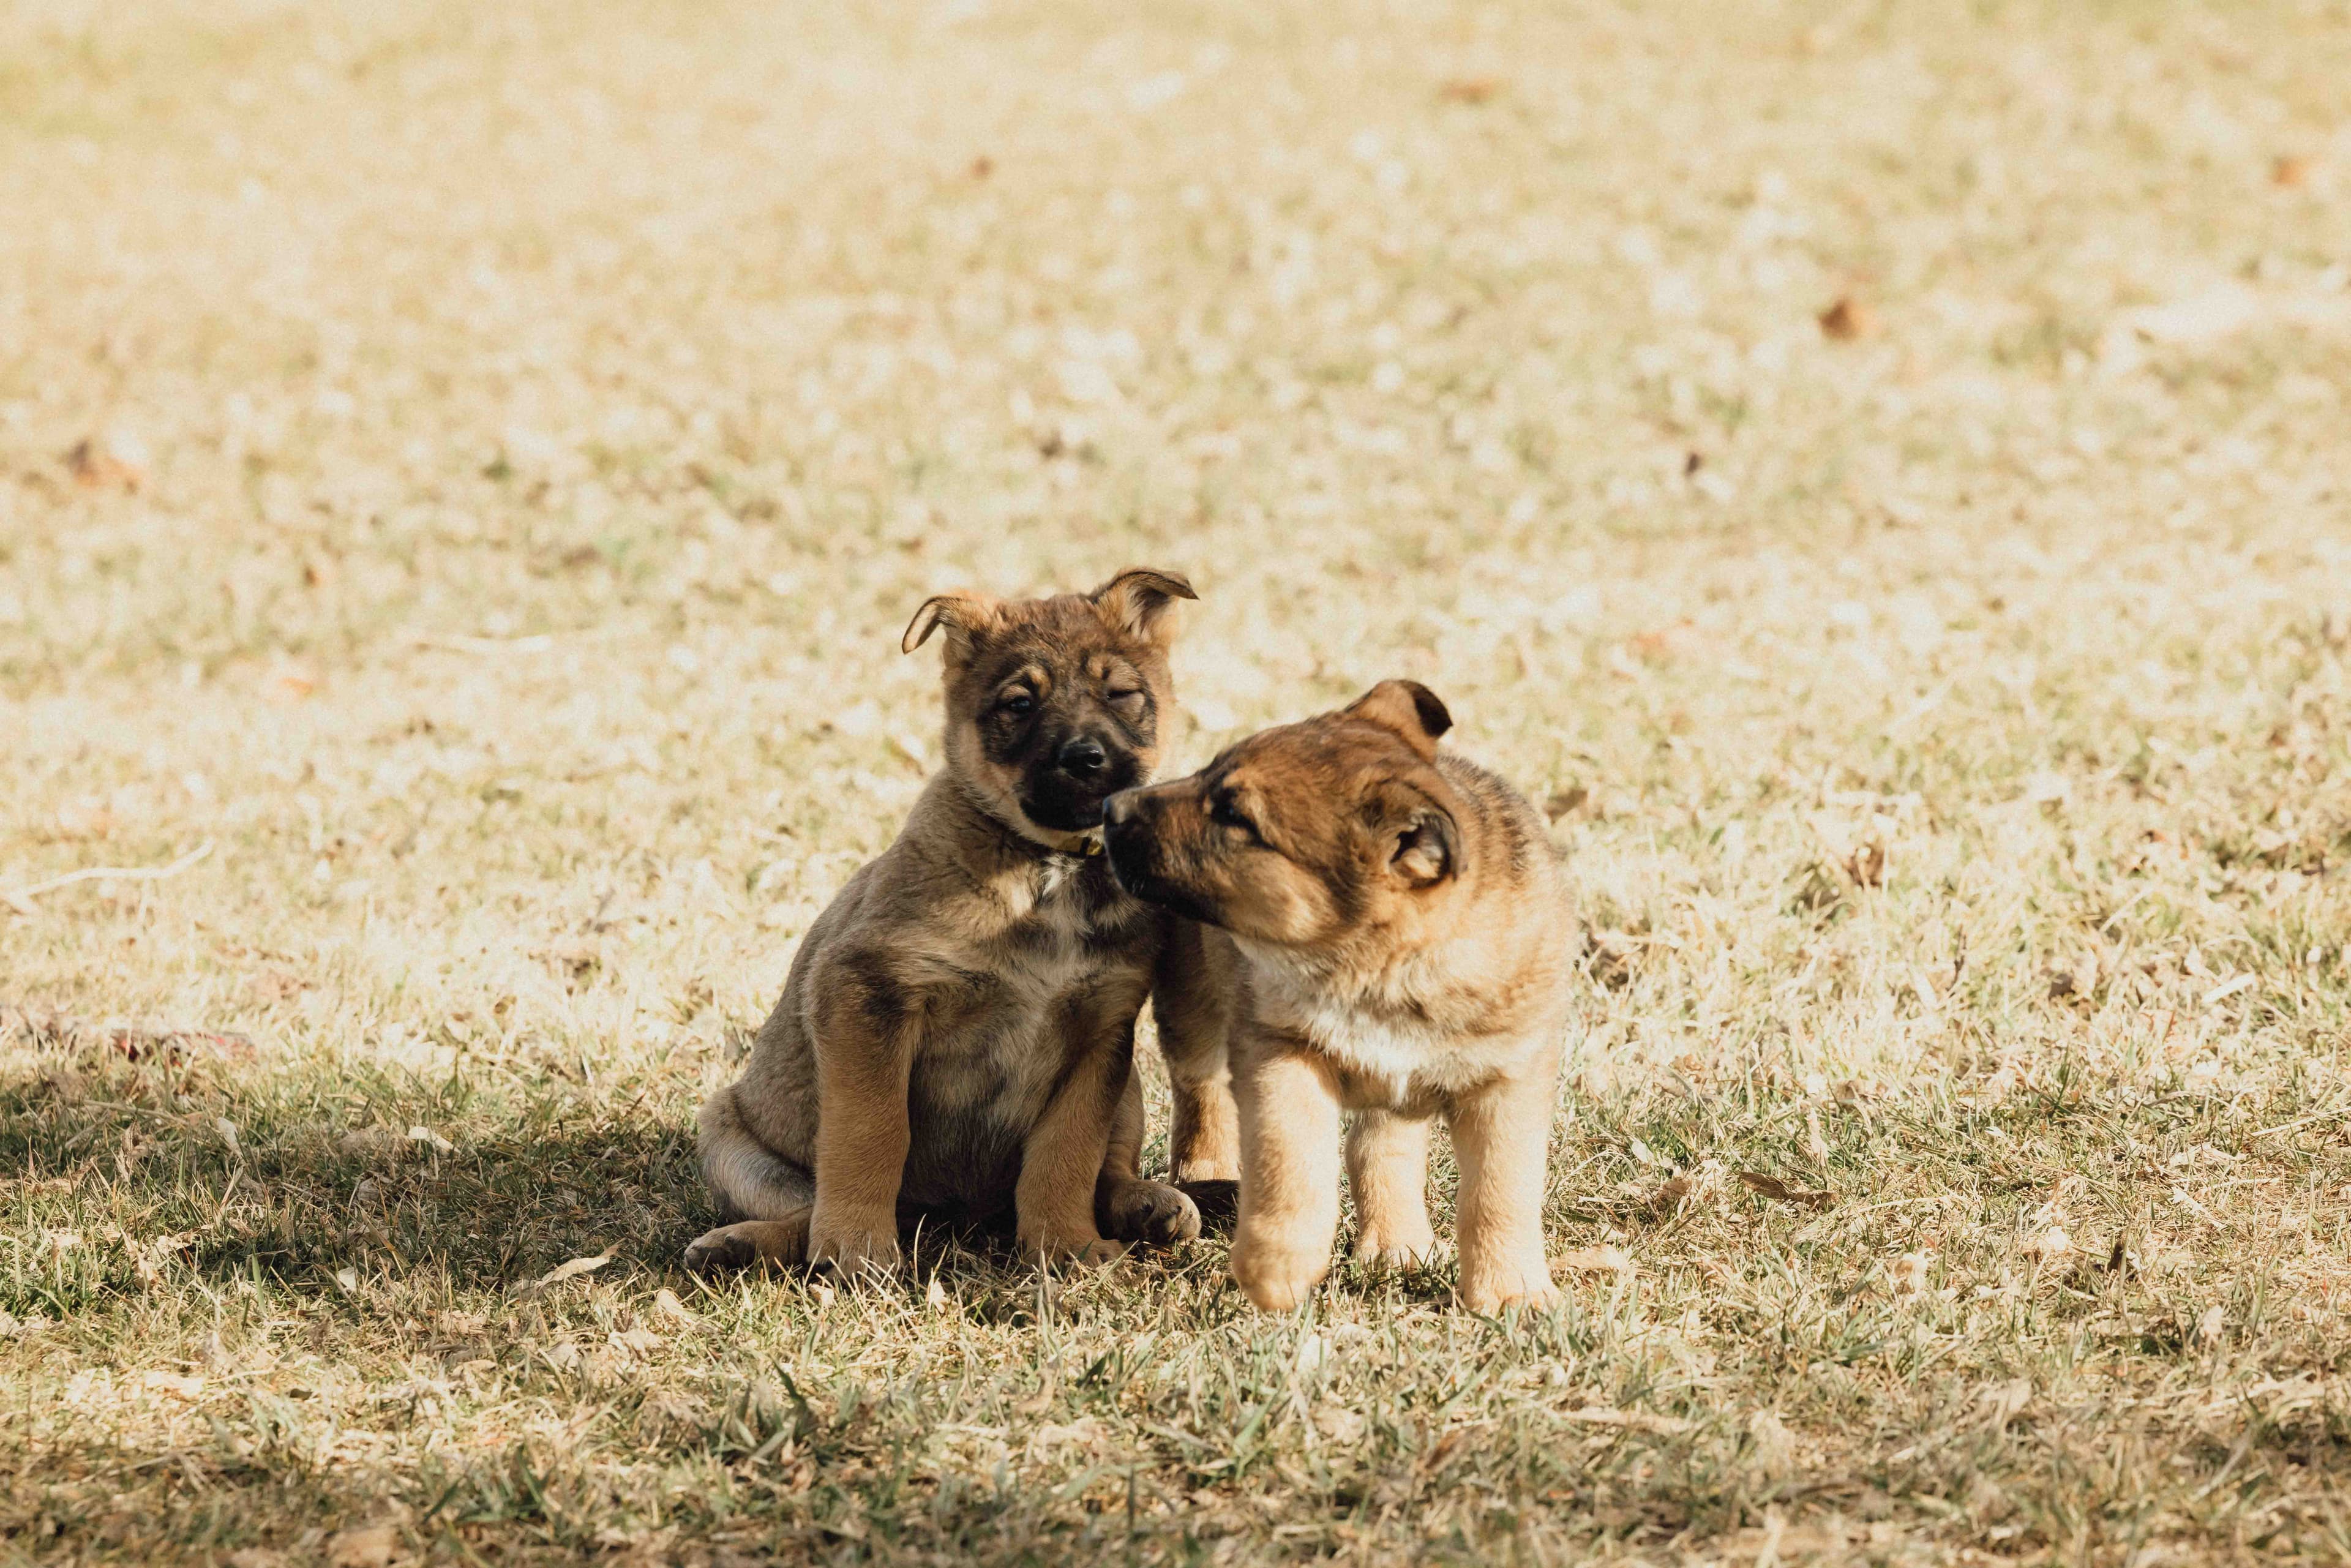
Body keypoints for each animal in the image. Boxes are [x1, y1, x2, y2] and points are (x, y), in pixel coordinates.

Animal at [683, 568, 1207, 1276]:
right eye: (1019, 704)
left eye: (1121, 695)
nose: (1085, 758)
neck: (1047, 870)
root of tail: (965, 1217)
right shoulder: (866, 993)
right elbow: (872, 1131)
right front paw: (856, 1248)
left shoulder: (1101, 1032)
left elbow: (1067, 1154)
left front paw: (1065, 1246)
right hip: (728, 1134)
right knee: (805, 1210)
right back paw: (745, 1242)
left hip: (1127, 1093)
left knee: (1110, 1171)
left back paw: (1149, 1204)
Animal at [1101, 680, 1574, 1311]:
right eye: (1207, 775)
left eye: (1235, 815)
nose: (1111, 808)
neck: (1379, 968)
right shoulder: (1281, 1051)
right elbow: (1292, 1164)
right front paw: (1276, 1267)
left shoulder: (1507, 1085)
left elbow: (1501, 1192)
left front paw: (1513, 1294)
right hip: (1193, 994)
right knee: (1201, 1090)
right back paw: (1208, 1178)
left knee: (1379, 1144)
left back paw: (1396, 1240)